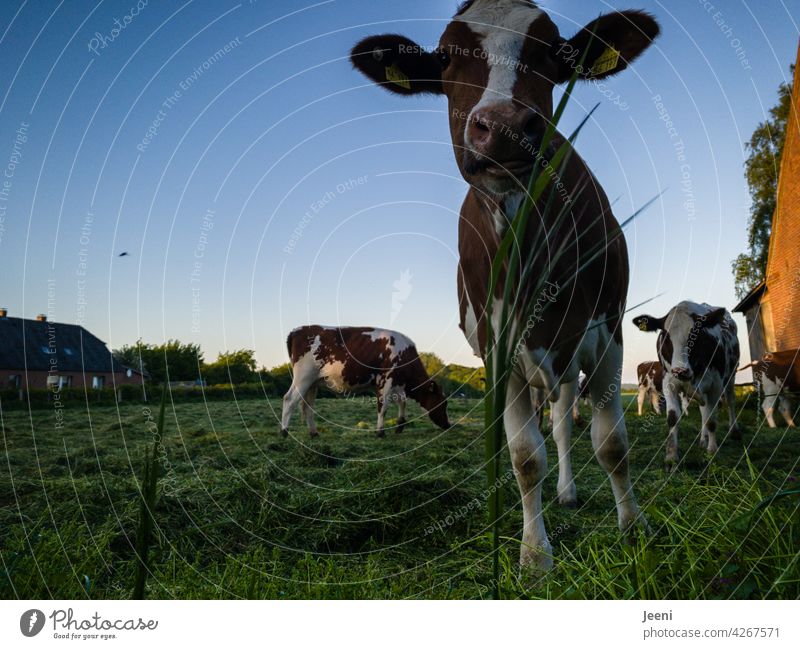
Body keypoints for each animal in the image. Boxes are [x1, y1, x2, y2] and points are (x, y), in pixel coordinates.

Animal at [282, 326, 454, 438]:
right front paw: (380, 432)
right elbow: (383, 407)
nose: (448, 425)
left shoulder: (397, 385)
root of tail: (297, 330)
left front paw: (400, 425)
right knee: (289, 399)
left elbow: (402, 403)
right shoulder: (386, 380)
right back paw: (284, 431)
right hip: (303, 376)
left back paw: (314, 433)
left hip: (313, 382)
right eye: (443, 403)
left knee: (308, 406)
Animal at [354, 0, 660, 568]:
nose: (503, 126)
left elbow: (611, 442)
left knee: (564, 419)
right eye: (446, 57)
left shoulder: (608, 331)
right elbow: (523, 455)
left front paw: (634, 527)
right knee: (550, 424)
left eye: (554, 53)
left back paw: (569, 490)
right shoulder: (499, 349)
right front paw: (535, 555)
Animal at [636, 302, 740, 464]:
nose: (680, 371)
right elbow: (673, 418)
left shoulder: (716, 386)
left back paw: (733, 431)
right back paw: (703, 439)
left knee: (730, 401)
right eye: (665, 336)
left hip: (731, 376)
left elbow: (711, 420)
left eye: (696, 335)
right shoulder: (668, 382)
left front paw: (712, 451)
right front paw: (671, 457)